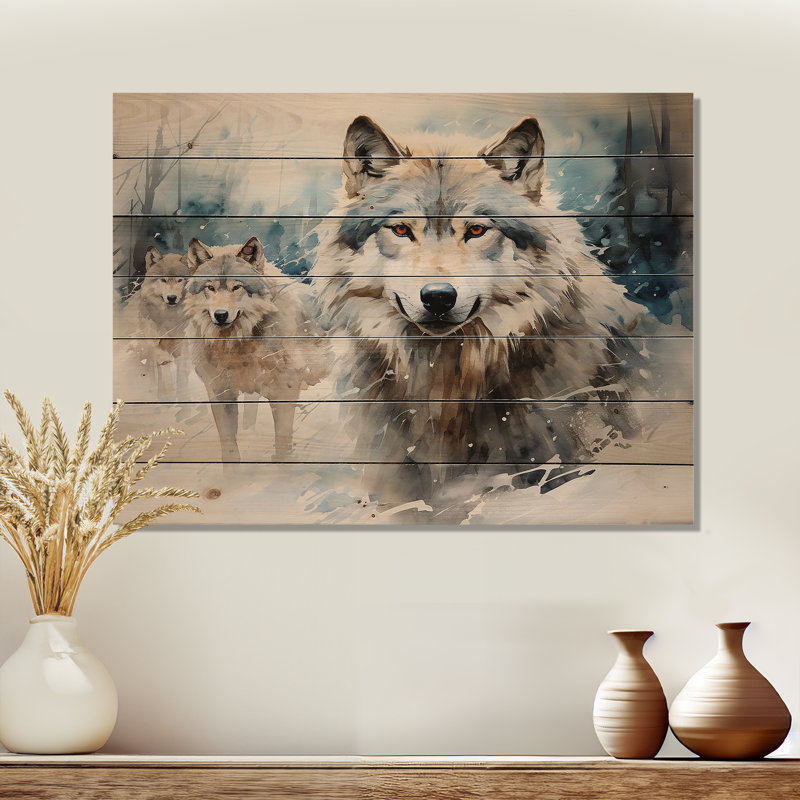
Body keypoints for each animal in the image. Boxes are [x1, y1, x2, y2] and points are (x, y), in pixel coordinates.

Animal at [184, 236, 329, 462]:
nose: (221, 315)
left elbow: (282, 449)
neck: (237, 344)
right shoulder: (220, 392)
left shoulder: (284, 392)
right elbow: (230, 451)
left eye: (237, 287)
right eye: (211, 288)